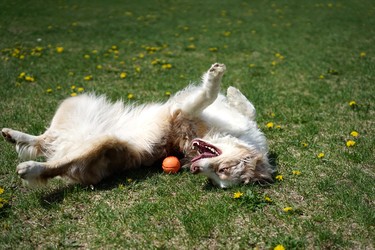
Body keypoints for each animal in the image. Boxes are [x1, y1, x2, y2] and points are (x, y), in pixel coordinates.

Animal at [0, 62, 276, 188]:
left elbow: (206, 96)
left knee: (55, 160)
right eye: (223, 170)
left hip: (99, 144)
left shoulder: (180, 113)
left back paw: (29, 167)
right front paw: (230, 88)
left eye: (220, 177)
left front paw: (217, 81)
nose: (196, 170)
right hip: (76, 101)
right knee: (46, 136)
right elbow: (247, 107)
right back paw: (13, 135)